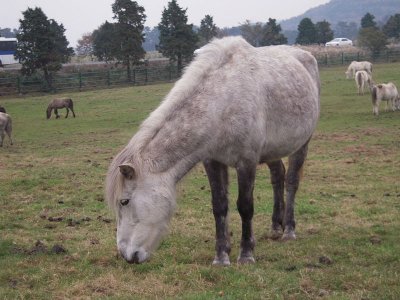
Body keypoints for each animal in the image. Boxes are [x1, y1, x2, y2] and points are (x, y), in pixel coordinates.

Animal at [104, 37, 320, 264]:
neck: (222, 103)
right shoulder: (212, 162)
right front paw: (221, 256)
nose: (126, 255)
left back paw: (288, 230)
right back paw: (276, 227)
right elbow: (219, 206)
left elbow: (245, 206)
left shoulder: (247, 162)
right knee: (278, 176)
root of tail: (304, 54)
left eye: (124, 201)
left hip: (302, 144)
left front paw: (246, 254)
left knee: (291, 182)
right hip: (272, 151)